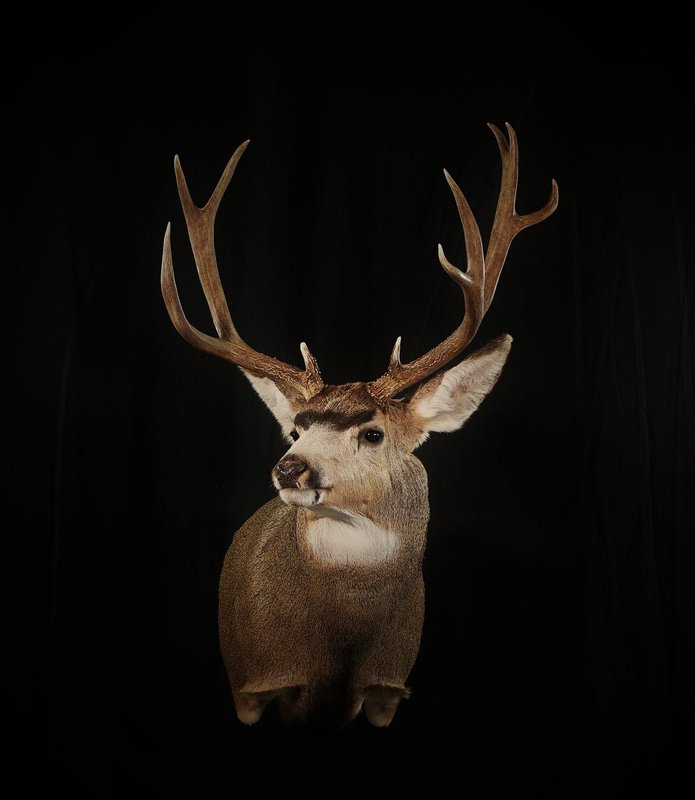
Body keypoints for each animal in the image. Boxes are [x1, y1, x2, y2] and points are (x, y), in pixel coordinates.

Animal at [160, 122, 558, 730]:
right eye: (295, 430)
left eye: (372, 433)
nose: (289, 468)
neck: (336, 651)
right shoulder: (252, 684)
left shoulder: (387, 688)